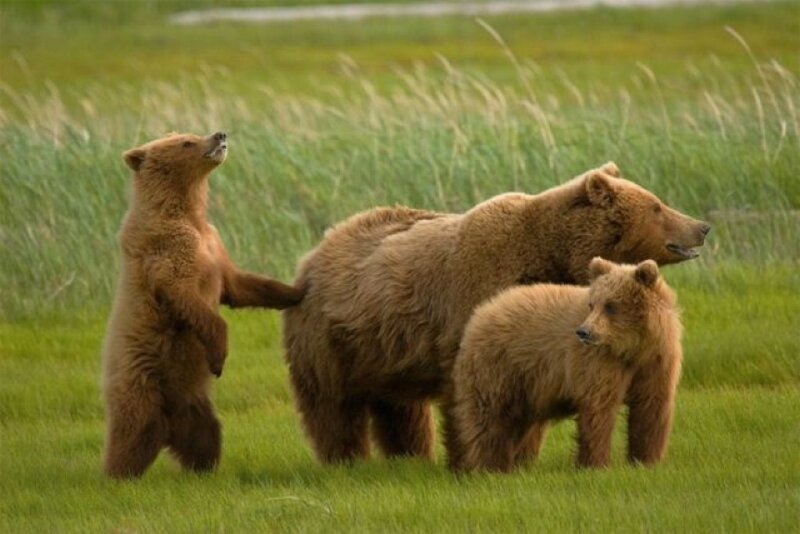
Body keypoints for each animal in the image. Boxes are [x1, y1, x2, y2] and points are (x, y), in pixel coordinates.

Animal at [102, 131, 304, 478]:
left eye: (191, 134)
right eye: (186, 142)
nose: (219, 134)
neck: (187, 213)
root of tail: (167, 428)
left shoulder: (213, 245)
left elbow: (240, 285)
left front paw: (297, 291)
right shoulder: (169, 252)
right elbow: (188, 297)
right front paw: (219, 357)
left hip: (193, 402)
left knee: (205, 434)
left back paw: (202, 468)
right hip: (141, 382)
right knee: (132, 433)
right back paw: (118, 474)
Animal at [446, 257, 682, 472]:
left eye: (611, 306)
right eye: (592, 304)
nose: (584, 332)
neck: (632, 349)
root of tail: (480, 312)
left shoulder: (657, 361)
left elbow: (651, 409)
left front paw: (646, 461)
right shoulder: (599, 363)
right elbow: (599, 409)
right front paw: (596, 464)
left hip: (529, 386)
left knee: (522, 423)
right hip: (499, 367)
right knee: (492, 417)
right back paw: (493, 465)